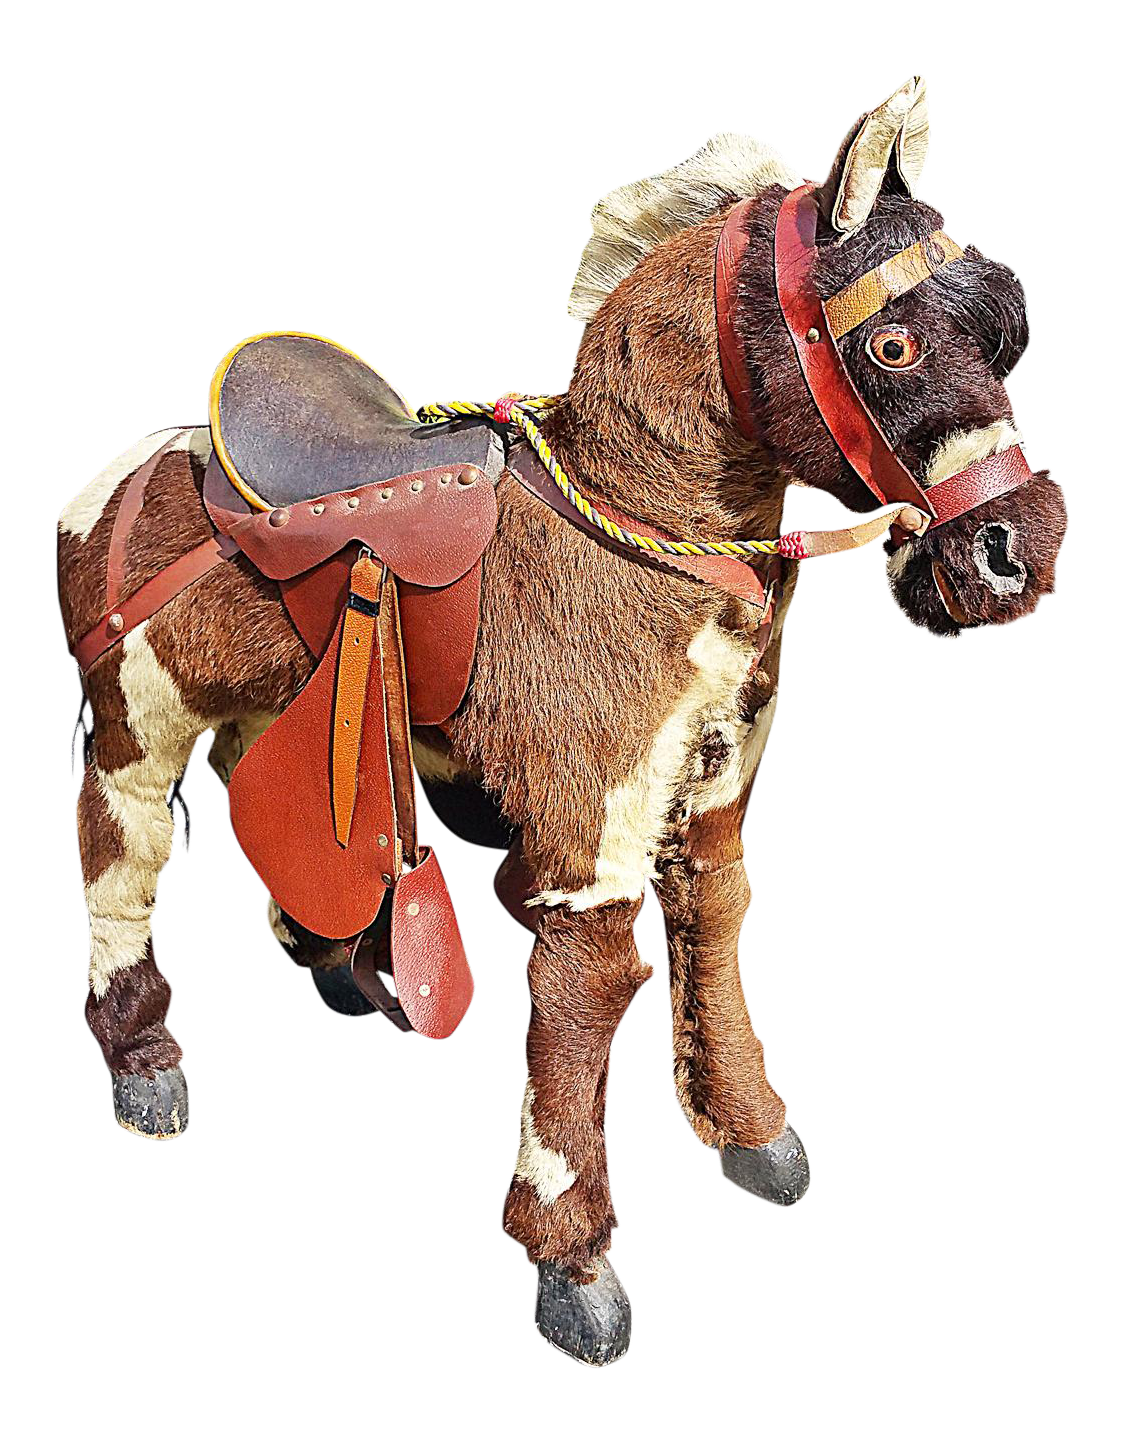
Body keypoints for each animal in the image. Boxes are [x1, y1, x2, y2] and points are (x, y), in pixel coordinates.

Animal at [57, 78, 1069, 1367]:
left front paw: (749, 1128)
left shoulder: (710, 791)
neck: (641, 522)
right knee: (120, 852)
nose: (1017, 551)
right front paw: (566, 1257)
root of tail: (138, 457)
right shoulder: (589, 839)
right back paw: (142, 1061)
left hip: (283, 696)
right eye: (890, 342)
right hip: (136, 723)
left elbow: (712, 919)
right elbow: (585, 999)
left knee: (262, 789)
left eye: (1000, 340)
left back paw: (334, 961)